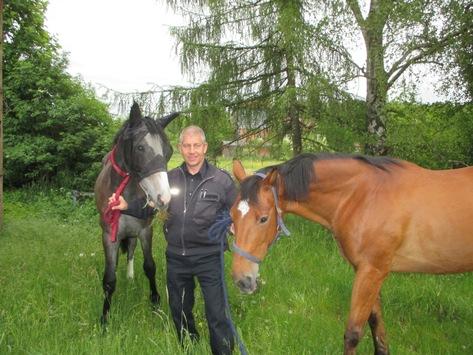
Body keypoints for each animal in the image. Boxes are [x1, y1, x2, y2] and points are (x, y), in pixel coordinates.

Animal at [94, 103, 179, 326]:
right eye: (140, 147)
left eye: (168, 151)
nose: (164, 198)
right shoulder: (109, 235)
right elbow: (109, 279)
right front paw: (105, 318)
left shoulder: (145, 231)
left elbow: (150, 266)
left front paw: (155, 302)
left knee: (131, 249)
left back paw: (131, 276)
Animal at [229, 155, 472, 355]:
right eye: (232, 215)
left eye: (263, 218)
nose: (242, 280)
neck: (364, 196)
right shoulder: (367, 272)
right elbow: (377, 327)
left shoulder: (372, 271)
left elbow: (353, 334)